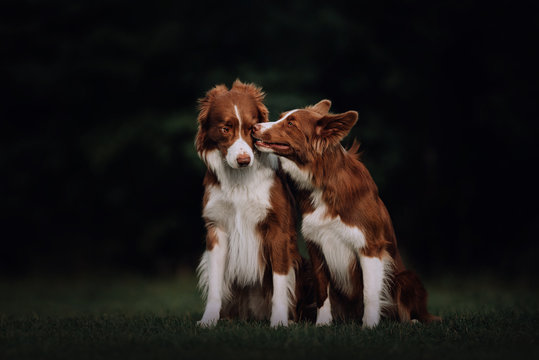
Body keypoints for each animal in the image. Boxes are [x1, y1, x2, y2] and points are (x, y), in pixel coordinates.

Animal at [194, 80, 438, 328]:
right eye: (225, 129)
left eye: (291, 123)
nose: (255, 129)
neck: (324, 183)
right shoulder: (314, 245)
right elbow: (322, 292)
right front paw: (322, 324)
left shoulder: (369, 246)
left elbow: (369, 293)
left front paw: (368, 326)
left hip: (406, 278)